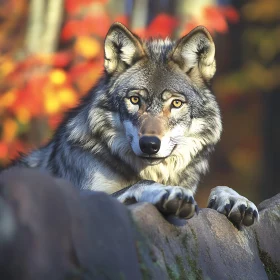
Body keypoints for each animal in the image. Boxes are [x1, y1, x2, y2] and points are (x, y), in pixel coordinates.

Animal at [14, 23, 258, 226]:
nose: (149, 144)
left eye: (176, 103)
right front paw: (168, 191)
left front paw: (236, 200)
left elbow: (220, 187)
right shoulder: (87, 197)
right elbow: (142, 184)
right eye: (134, 100)